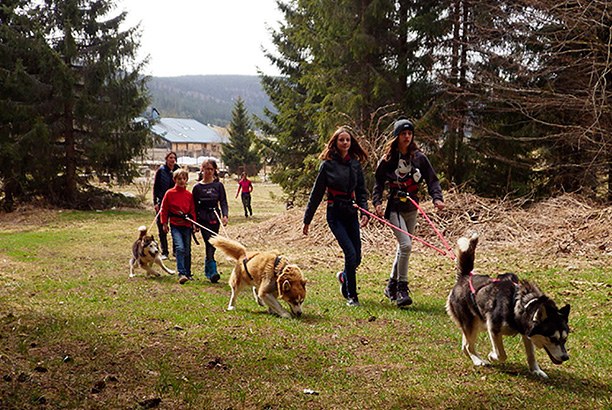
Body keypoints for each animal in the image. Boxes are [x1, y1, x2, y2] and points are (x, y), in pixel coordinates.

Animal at [448, 234, 572, 378]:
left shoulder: (525, 331)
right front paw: (492, 356)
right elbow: (501, 354)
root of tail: (465, 276)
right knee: (468, 345)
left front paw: (536, 370)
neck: (522, 305)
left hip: (477, 323)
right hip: (472, 324)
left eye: (565, 339)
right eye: (552, 338)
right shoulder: (493, 328)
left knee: (465, 345)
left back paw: (474, 358)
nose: (565, 357)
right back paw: (478, 360)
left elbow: (531, 355)